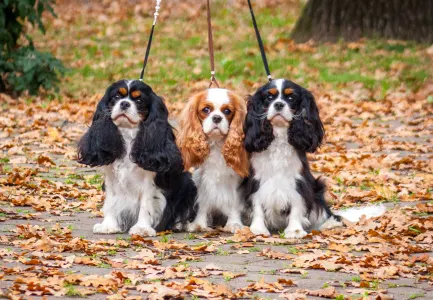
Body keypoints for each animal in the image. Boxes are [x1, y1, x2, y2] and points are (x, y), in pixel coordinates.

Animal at [77, 79, 196, 237]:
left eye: (139, 100)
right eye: (116, 97)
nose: (124, 104)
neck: (128, 135)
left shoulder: (150, 181)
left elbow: (146, 204)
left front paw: (142, 228)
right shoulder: (111, 178)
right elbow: (111, 201)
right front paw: (108, 225)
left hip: (188, 183)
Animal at [176, 88, 250, 233]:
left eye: (227, 111)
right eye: (206, 109)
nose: (217, 118)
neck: (216, 144)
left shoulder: (236, 180)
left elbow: (234, 202)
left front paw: (234, 223)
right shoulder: (201, 178)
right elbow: (203, 202)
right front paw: (199, 224)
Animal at [245, 78, 384, 238]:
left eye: (291, 98)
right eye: (269, 97)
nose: (279, 104)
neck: (279, 134)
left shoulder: (299, 181)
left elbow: (297, 202)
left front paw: (294, 230)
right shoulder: (256, 180)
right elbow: (257, 203)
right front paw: (258, 228)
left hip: (318, 189)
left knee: (327, 213)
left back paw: (329, 224)